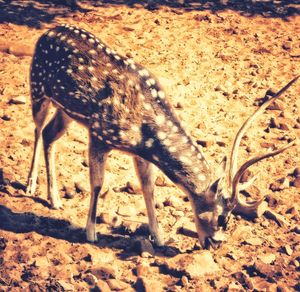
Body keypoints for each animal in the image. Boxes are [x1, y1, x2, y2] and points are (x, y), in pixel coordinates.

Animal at [25, 24, 298, 249]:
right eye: (222, 217)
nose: (215, 244)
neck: (144, 129)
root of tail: (46, 33)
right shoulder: (99, 134)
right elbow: (98, 184)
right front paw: (90, 233)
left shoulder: (140, 153)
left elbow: (149, 188)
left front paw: (159, 237)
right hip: (37, 87)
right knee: (38, 129)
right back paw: (30, 186)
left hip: (65, 111)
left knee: (50, 135)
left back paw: (54, 198)